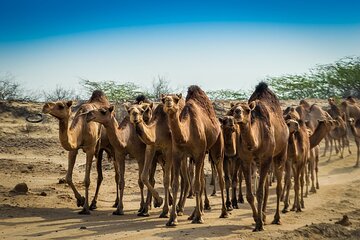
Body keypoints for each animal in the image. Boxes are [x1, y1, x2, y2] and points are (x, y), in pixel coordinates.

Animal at [163, 85, 228, 226]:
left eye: (176, 99)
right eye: (163, 99)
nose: (168, 102)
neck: (187, 134)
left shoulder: (198, 154)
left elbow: (197, 184)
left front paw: (198, 217)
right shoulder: (178, 155)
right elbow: (175, 185)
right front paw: (172, 219)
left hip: (216, 150)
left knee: (220, 179)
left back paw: (224, 212)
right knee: (203, 180)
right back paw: (194, 213)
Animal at [228, 82, 290, 231]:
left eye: (247, 110)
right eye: (233, 109)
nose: (237, 112)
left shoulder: (266, 158)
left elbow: (260, 192)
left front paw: (260, 224)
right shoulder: (246, 160)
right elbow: (251, 194)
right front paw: (257, 219)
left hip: (280, 153)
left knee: (278, 187)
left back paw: (276, 218)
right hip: (258, 162)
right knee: (266, 186)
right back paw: (264, 215)